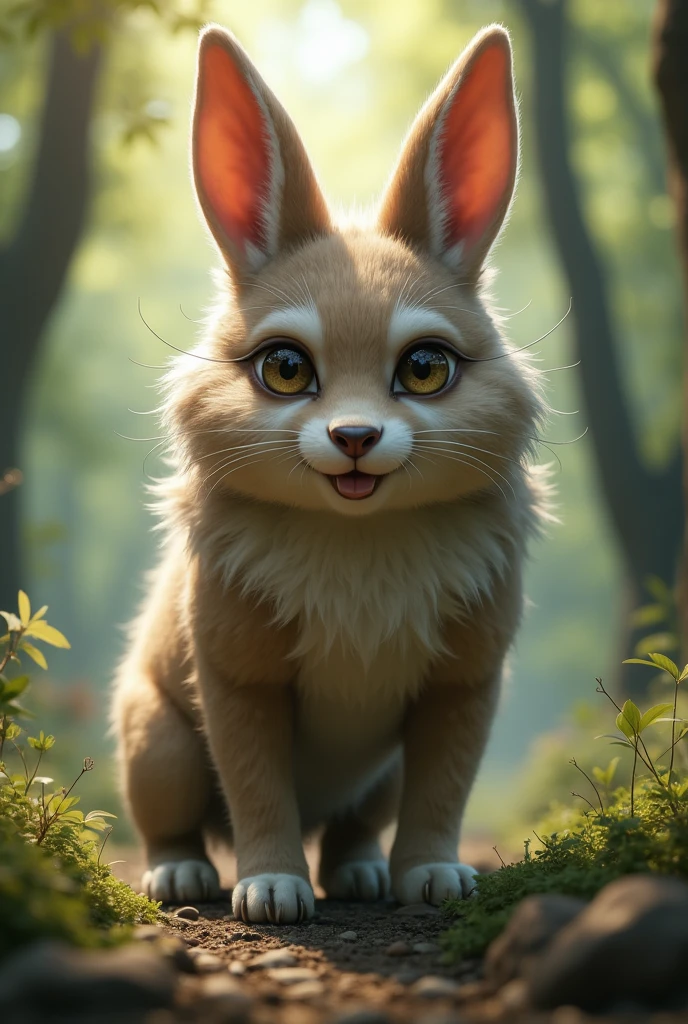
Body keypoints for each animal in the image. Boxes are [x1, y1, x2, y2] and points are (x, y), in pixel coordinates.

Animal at [111, 21, 548, 925]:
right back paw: (182, 876)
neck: (359, 544)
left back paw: (361, 875)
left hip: (373, 779)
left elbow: (445, 791)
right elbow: (256, 789)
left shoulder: (464, 683)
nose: (355, 436)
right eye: (284, 369)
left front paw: (435, 878)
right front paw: (272, 889)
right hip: (157, 742)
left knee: (353, 827)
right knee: (171, 821)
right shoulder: (237, 680)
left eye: (425, 368)